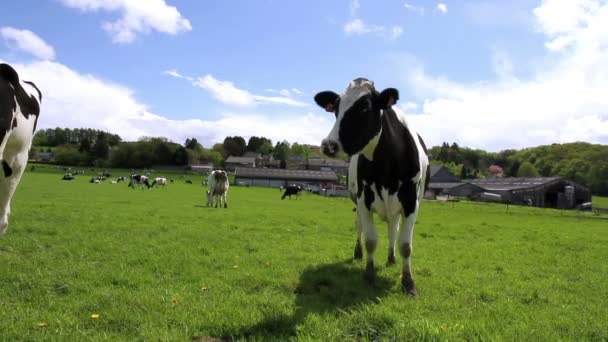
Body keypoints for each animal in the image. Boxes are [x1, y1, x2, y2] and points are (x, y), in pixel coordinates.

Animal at [316, 77, 430, 294]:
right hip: (358, 201)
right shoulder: (364, 199)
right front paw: (369, 275)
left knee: (393, 229)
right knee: (359, 226)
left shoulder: (411, 202)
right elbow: (370, 240)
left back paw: (391, 258)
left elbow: (405, 245)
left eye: (365, 107)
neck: (387, 165)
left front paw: (408, 282)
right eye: (336, 108)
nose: (328, 145)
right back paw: (358, 252)